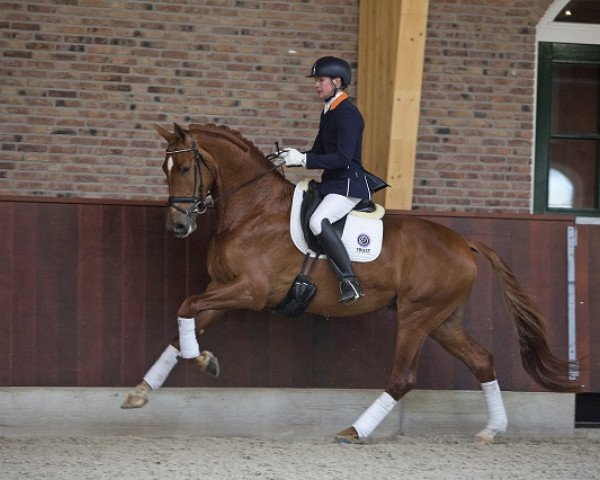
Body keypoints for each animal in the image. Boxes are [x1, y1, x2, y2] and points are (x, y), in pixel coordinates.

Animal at [120, 123, 576, 442]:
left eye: (184, 168)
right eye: (164, 170)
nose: (178, 227)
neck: (253, 210)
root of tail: (463, 242)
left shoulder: (251, 291)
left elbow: (186, 306)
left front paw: (203, 360)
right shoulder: (224, 289)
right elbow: (184, 323)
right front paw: (143, 389)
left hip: (417, 317)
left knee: (402, 378)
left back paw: (354, 431)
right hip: (444, 320)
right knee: (481, 360)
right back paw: (491, 430)